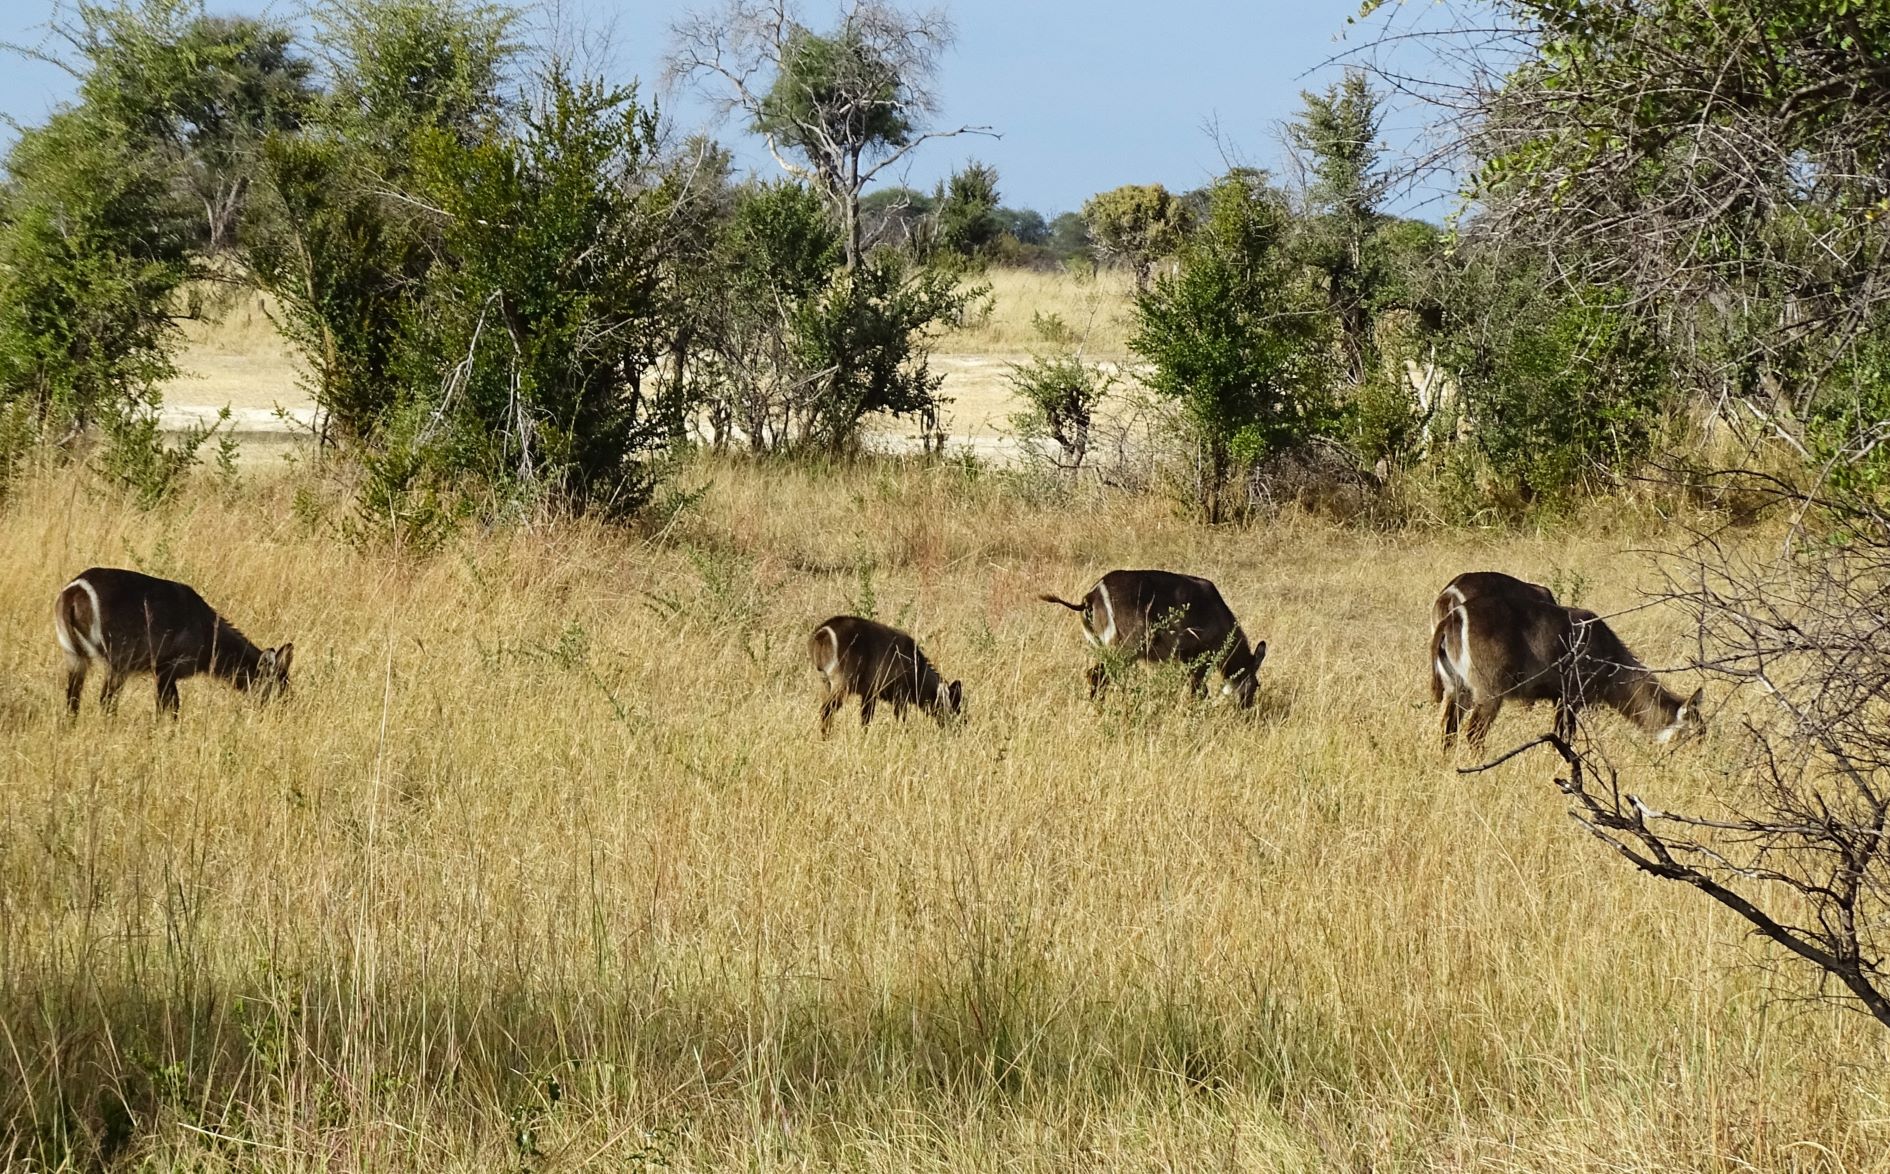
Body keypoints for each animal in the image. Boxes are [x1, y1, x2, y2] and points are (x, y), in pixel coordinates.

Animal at [53, 567, 291, 718]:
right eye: (279, 687)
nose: (284, 713)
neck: (206, 630)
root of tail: (75, 590)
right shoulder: (166, 669)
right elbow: (167, 707)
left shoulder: (168, 675)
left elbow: (174, 706)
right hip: (118, 661)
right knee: (106, 701)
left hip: (74, 655)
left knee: (72, 699)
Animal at [808, 612, 967, 733]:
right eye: (957, 705)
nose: (961, 727)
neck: (917, 669)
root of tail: (823, 631)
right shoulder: (899, 695)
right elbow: (901, 719)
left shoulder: (869, 694)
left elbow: (866, 720)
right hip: (842, 684)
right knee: (826, 711)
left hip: (823, 682)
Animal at [1035, 567, 1270, 703]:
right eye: (1255, 686)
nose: (1246, 709)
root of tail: (1091, 596)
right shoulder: (1197, 658)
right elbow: (1199, 691)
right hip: (1125, 647)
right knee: (1097, 675)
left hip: (1100, 646)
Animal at [1421, 570, 1708, 752]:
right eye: (1697, 734)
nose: (1700, 761)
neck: (1610, 656)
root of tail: (1453, 613)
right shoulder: (1571, 697)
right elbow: (1564, 738)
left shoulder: (1561, 698)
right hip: (1488, 692)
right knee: (1473, 733)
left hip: (1457, 688)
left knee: (1448, 730)